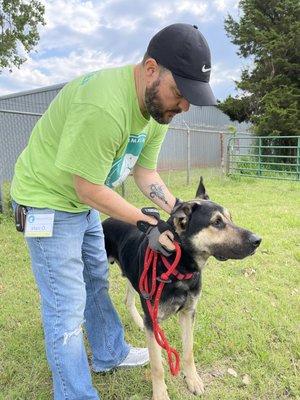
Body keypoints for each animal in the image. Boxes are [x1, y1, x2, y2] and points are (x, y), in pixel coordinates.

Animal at [102, 178, 262, 400]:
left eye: (230, 218)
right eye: (217, 222)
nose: (258, 240)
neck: (178, 268)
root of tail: (105, 220)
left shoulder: (188, 313)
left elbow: (188, 352)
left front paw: (192, 380)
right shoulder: (154, 319)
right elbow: (157, 367)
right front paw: (160, 393)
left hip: (134, 278)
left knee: (128, 300)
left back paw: (138, 323)